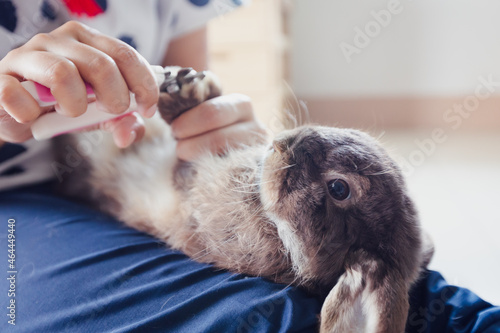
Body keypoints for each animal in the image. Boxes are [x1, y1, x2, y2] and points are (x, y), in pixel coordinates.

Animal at [52, 66, 432, 330]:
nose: (286, 140)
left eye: (339, 189)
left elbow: (180, 166)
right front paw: (190, 86)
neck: (279, 231)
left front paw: (180, 95)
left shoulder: (192, 193)